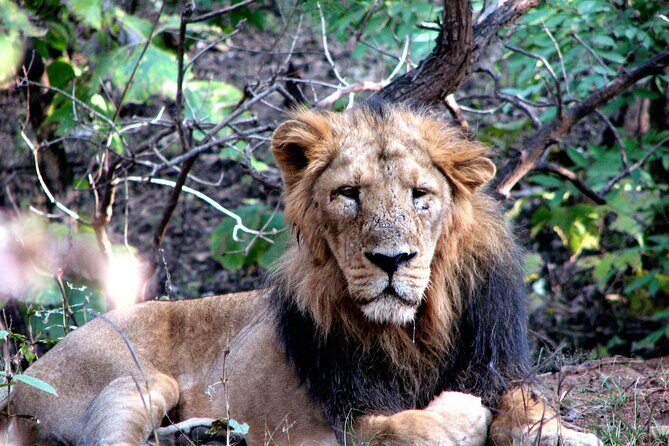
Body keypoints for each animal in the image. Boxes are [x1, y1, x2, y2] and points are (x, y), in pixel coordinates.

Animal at [3, 102, 601, 446]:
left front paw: (564, 434)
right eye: (348, 195)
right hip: (138, 377)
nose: (392, 260)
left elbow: (526, 406)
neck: (414, 330)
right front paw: (462, 417)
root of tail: (16, 390)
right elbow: (404, 427)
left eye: (420, 195)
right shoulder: (331, 425)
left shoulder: (500, 365)